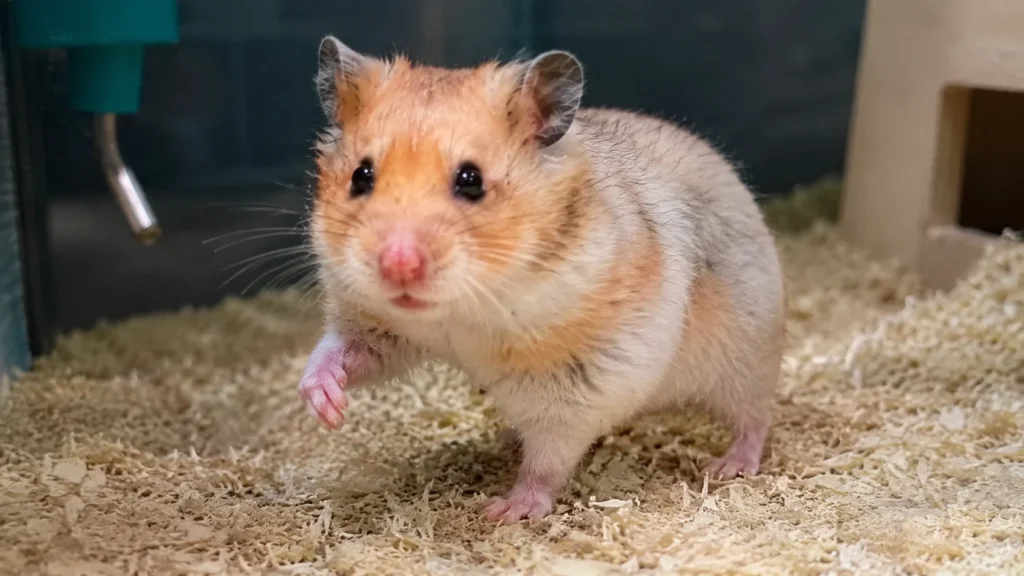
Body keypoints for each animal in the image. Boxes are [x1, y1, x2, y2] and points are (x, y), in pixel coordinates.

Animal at [299, 35, 786, 525]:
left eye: (471, 180)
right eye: (361, 176)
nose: (398, 264)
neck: (463, 311)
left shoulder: (577, 385)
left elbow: (548, 461)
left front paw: (505, 511)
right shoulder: (374, 324)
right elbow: (340, 351)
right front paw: (325, 408)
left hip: (743, 357)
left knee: (755, 416)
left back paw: (728, 466)